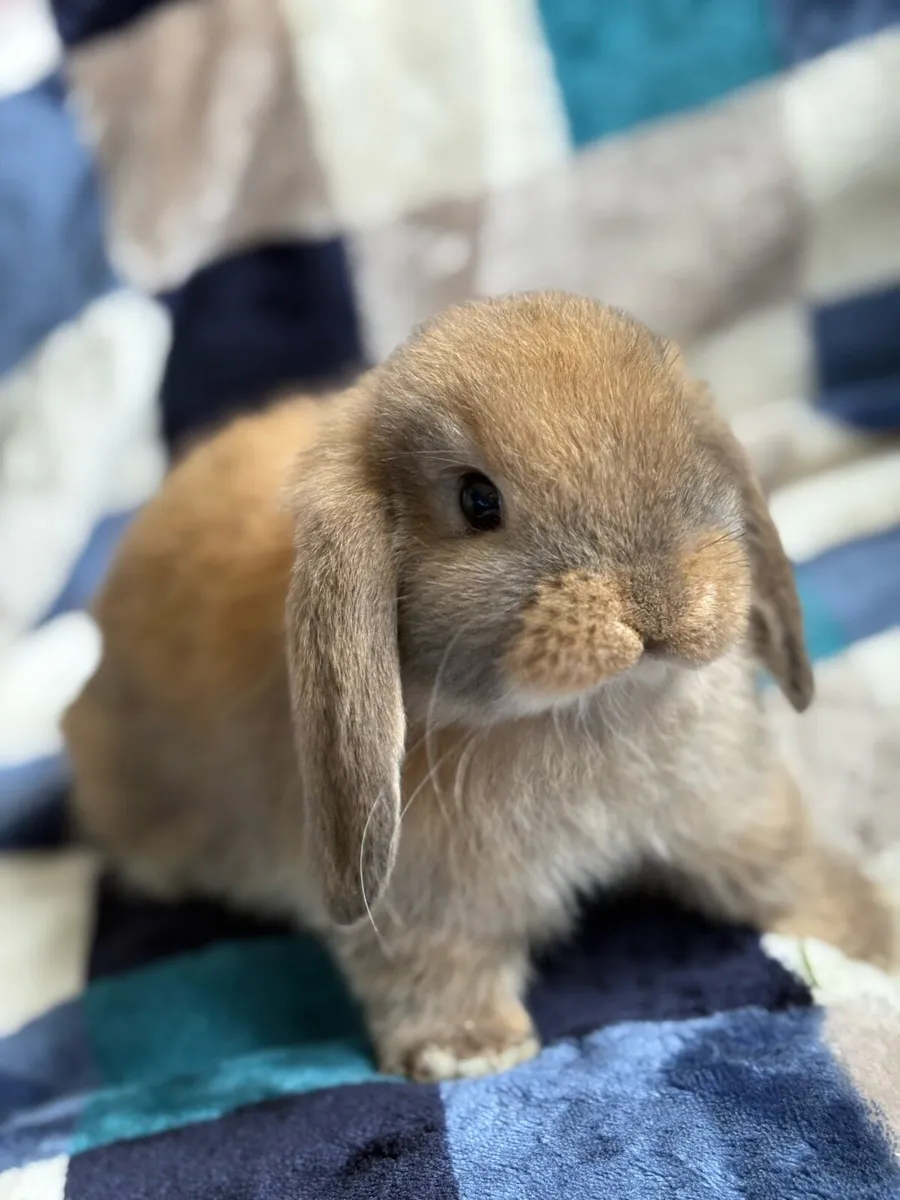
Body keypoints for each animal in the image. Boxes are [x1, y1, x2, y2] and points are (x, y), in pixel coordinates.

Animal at [64, 292, 896, 1082]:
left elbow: (783, 872)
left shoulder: (734, 812)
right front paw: (467, 1052)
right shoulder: (422, 904)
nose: (658, 606)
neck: (583, 710)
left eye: (691, 452)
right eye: (477, 500)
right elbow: (437, 968)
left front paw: (871, 939)